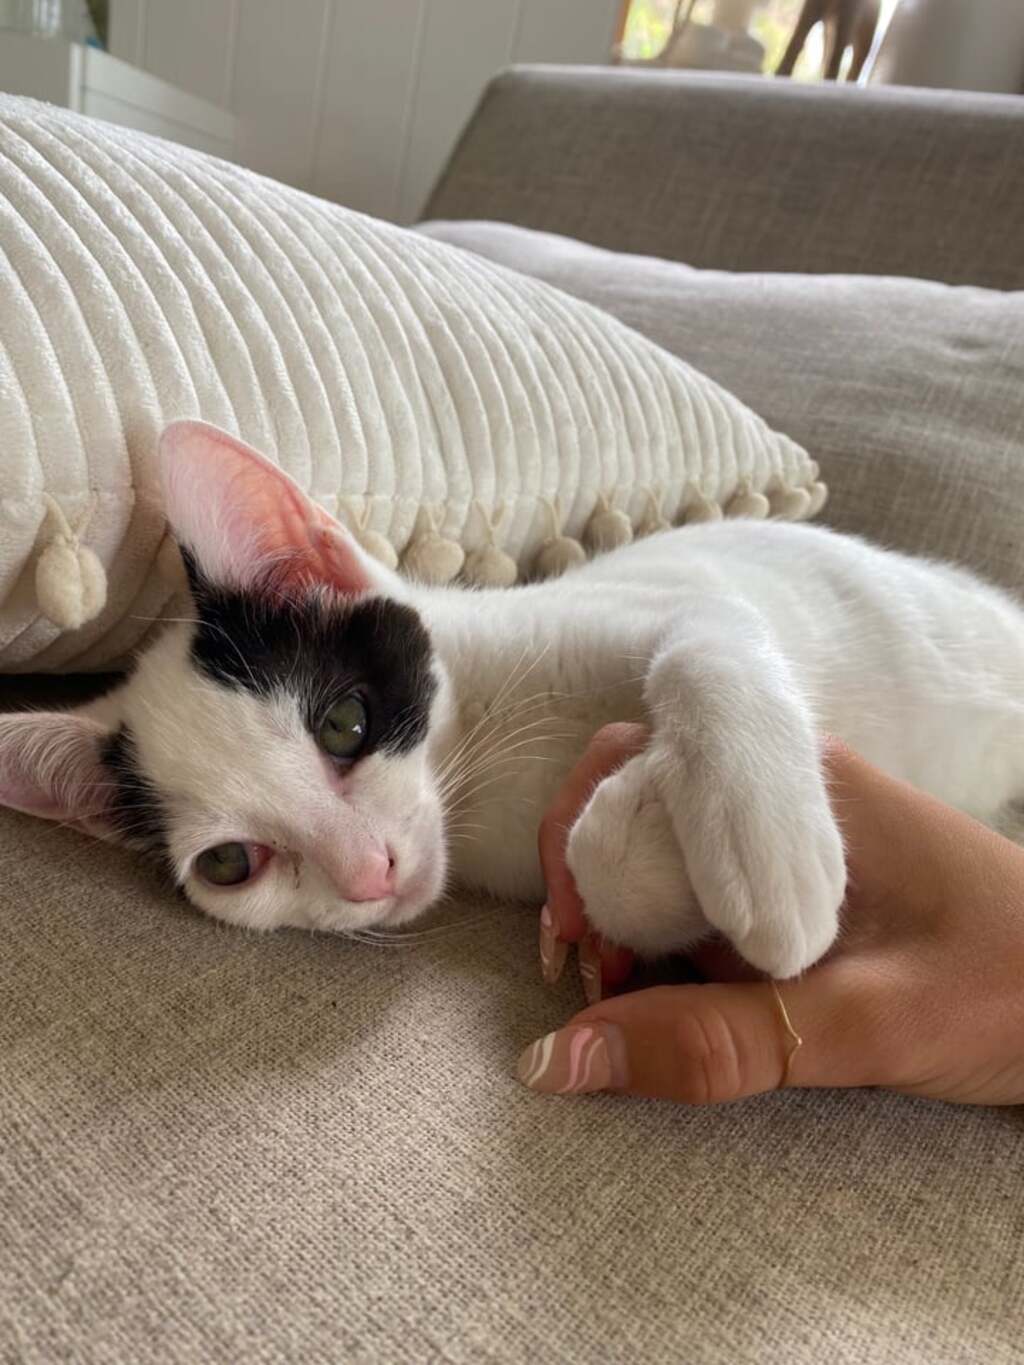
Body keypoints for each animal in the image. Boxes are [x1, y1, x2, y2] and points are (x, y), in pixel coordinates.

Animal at [3, 420, 1024, 979]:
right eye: (228, 864)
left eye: (345, 724)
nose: (368, 873)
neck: (486, 785)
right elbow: (598, 870)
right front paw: (629, 827)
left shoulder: (673, 602)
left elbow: (707, 640)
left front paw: (767, 858)